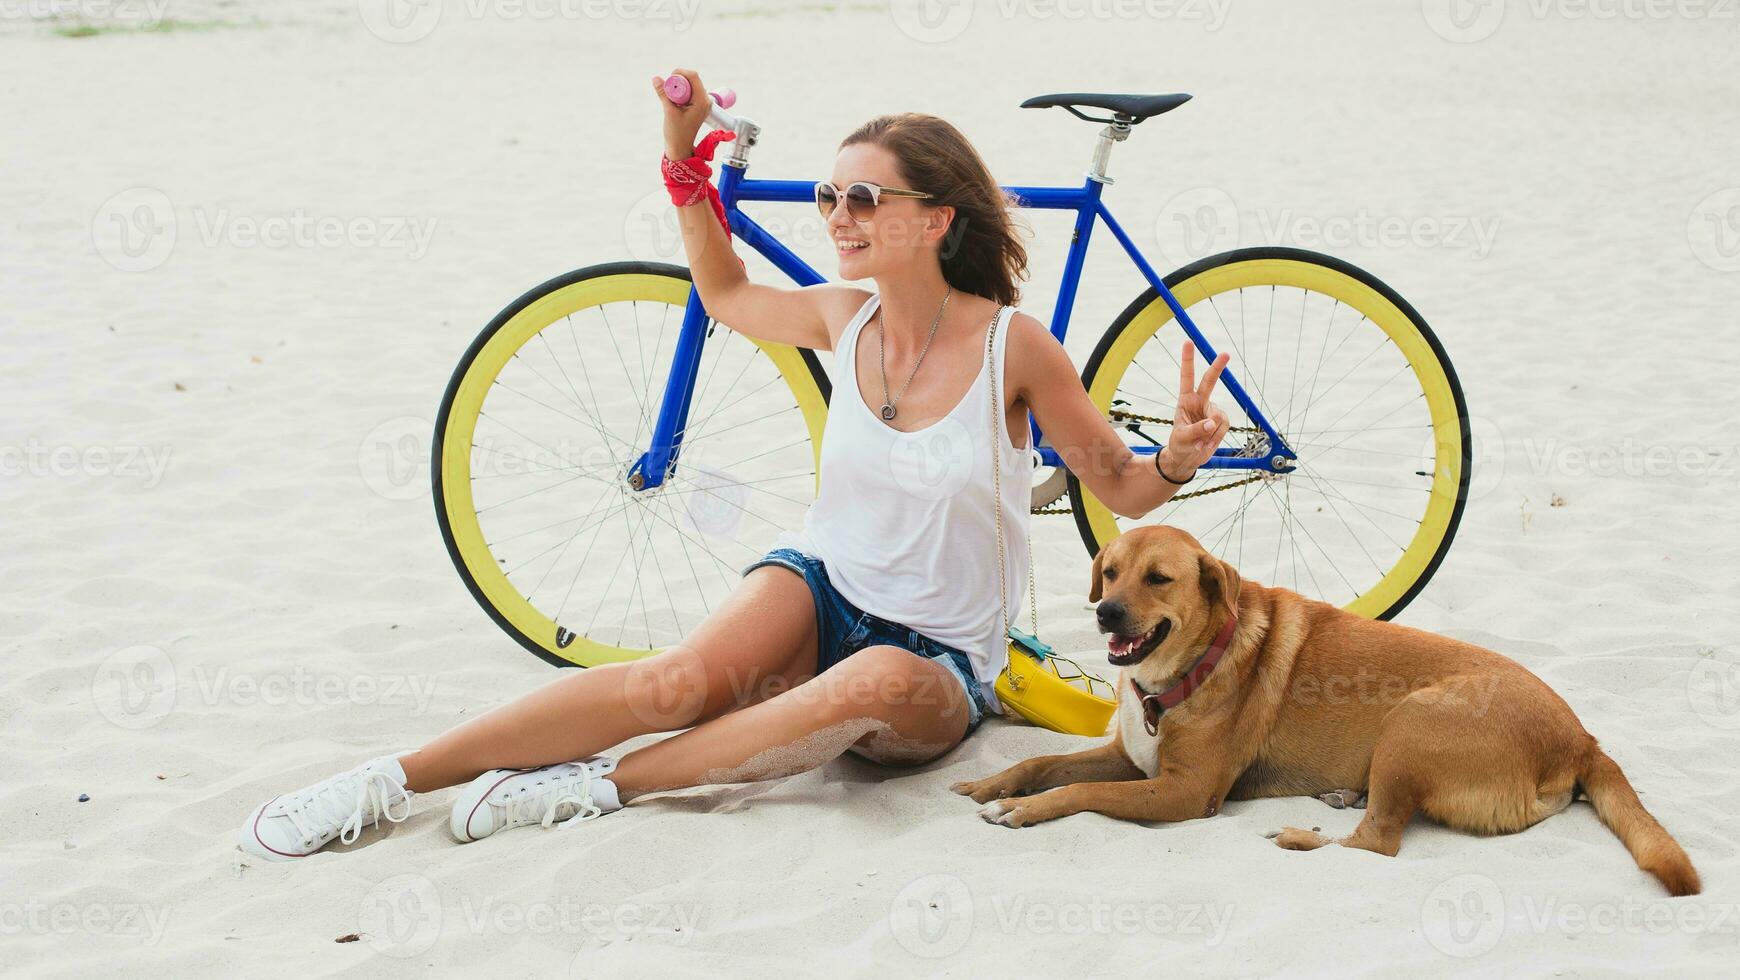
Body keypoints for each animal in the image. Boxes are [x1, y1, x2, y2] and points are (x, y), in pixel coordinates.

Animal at [953, 529, 1698, 898]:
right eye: (1108, 571)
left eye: (1158, 579)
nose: (1105, 612)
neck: (1193, 662)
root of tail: (1581, 738)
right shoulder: (1127, 754)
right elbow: (1046, 763)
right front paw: (994, 785)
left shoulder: (1184, 793)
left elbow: (1081, 791)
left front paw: (1021, 811)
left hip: (1411, 721)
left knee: (1378, 845)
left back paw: (1299, 836)